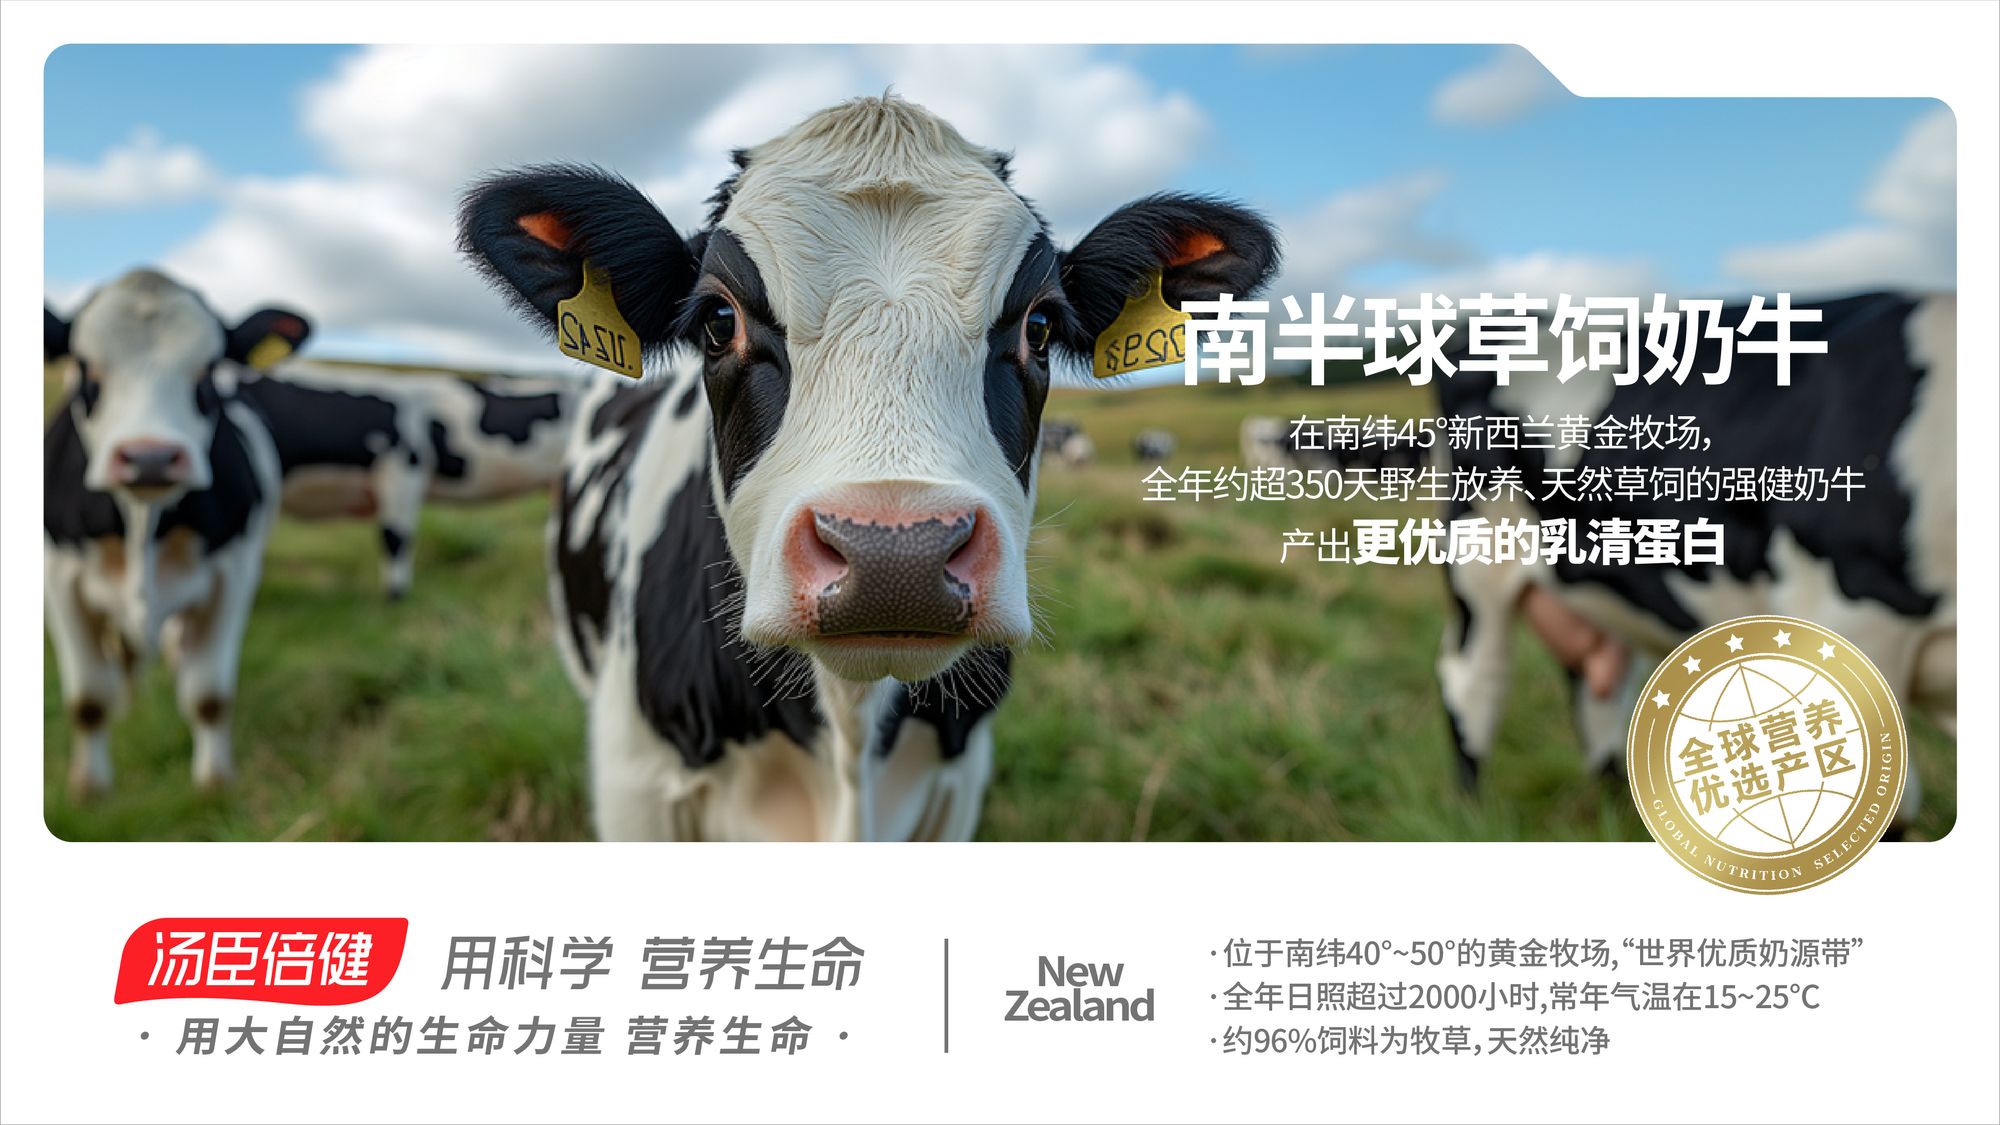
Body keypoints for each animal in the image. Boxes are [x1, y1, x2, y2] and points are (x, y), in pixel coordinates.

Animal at [43, 269, 309, 796]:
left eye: (208, 371)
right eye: (85, 370)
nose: (150, 457)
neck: (142, 521)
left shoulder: (233, 576)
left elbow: (209, 693)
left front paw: (215, 782)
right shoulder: (59, 578)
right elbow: (89, 699)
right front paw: (90, 788)